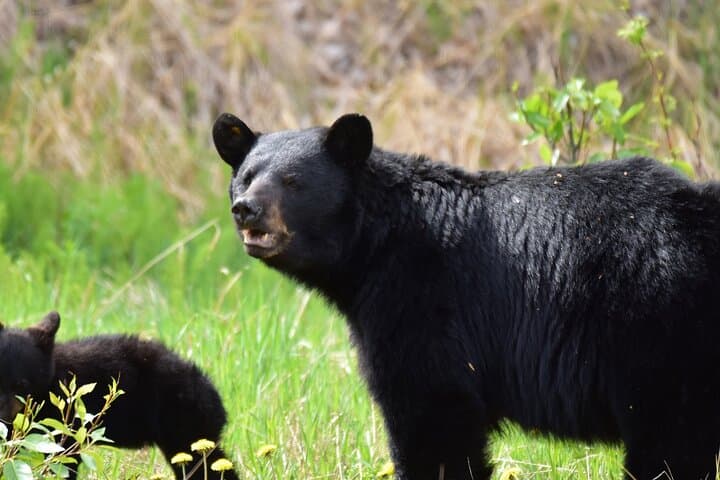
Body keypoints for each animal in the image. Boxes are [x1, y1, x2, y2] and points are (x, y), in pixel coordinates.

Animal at [0, 312, 239, 480]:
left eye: (22, 384)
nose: (2, 415)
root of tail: (212, 392)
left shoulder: (65, 426)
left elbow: (63, 462)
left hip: (188, 432)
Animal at [212, 112, 720, 480]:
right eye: (248, 176)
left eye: (293, 181)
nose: (245, 210)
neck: (375, 245)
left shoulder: (425, 298)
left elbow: (432, 412)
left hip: (657, 334)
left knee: (670, 444)